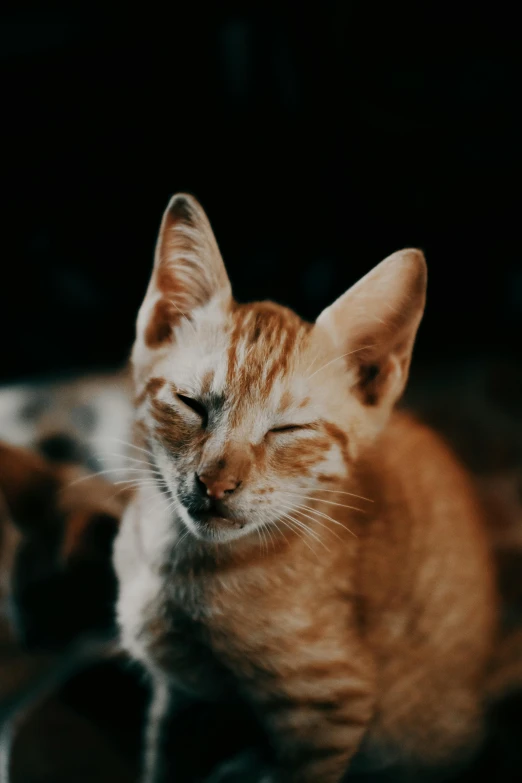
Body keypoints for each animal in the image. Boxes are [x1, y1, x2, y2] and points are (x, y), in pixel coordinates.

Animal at [112, 191, 500, 783]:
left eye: (287, 430)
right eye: (191, 404)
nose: (216, 483)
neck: (179, 563)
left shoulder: (329, 705)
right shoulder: (181, 695)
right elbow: (164, 755)